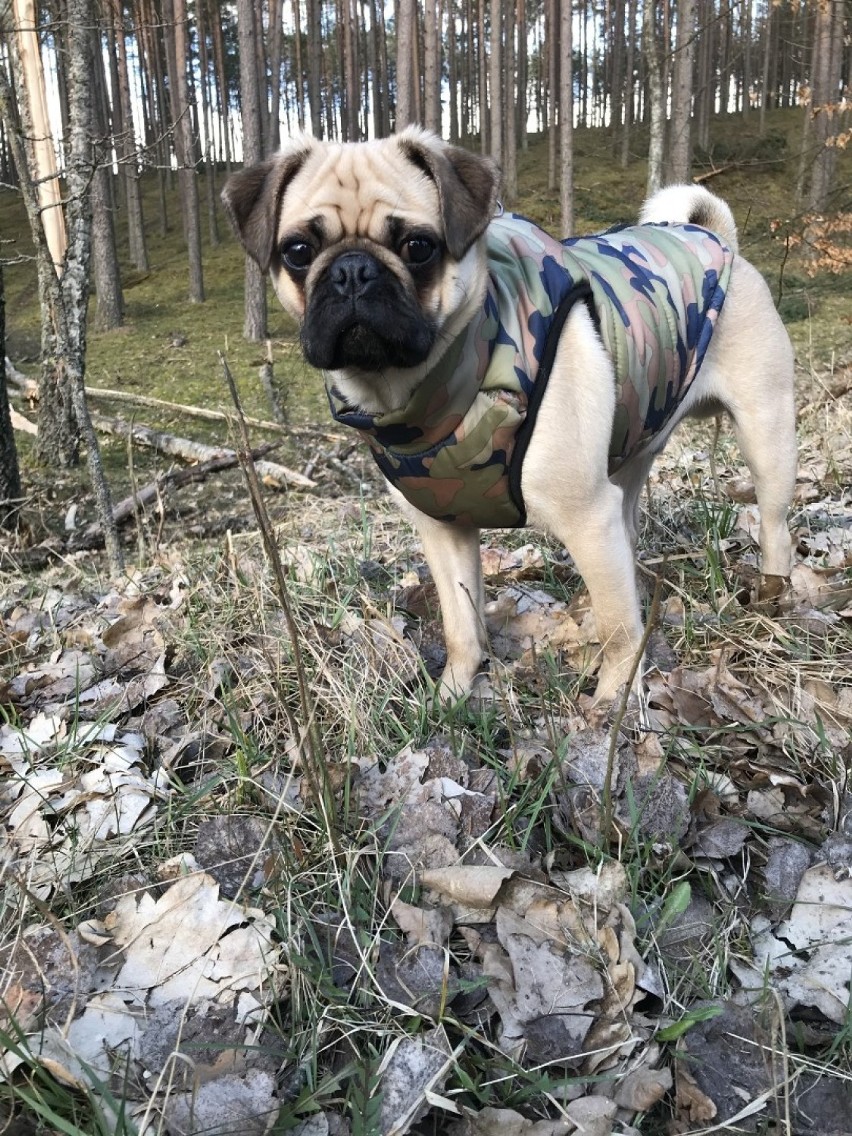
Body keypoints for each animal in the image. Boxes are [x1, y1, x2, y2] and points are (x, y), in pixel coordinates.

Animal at [223, 130, 799, 699]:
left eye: (418, 247)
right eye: (298, 252)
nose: (352, 271)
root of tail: (718, 237)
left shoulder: (587, 519)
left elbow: (619, 630)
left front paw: (613, 703)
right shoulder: (444, 529)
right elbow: (461, 621)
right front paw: (455, 692)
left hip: (765, 437)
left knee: (774, 528)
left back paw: (773, 600)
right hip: (630, 450)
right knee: (629, 525)